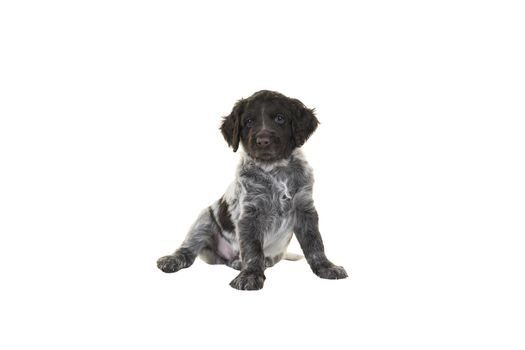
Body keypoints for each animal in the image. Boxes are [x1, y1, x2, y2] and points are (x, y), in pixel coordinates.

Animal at [158, 90, 350, 290]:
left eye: (280, 118)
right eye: (249, 122)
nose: (263, 141)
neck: (275, 169)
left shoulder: (305, 208)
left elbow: (315, 243)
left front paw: (326, 267)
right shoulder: (250, 214)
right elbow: (252, 250)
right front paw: (250, 275)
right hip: (203, 220)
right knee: (188, 250)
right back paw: (173, 259)